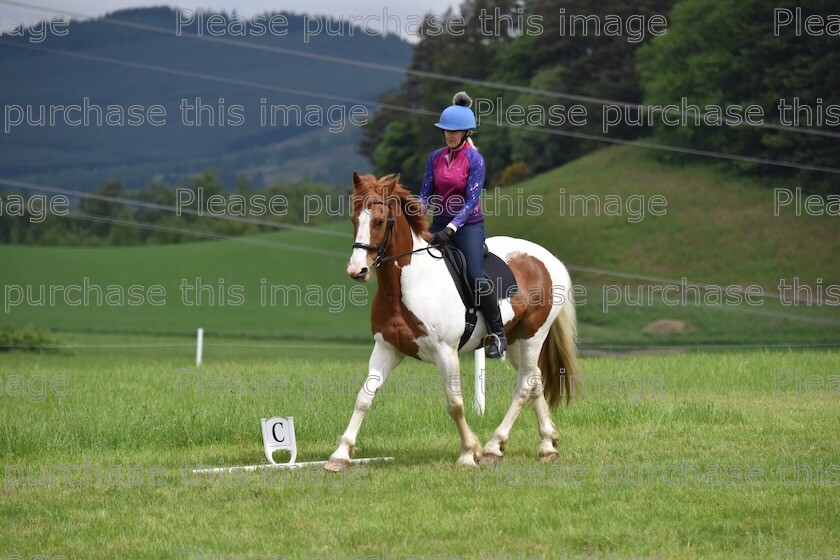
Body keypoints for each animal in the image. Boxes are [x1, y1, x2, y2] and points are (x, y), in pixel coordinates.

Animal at [324, 172, 580, 472]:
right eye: (354, 220)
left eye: (378, 221)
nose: (357, 270)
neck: (406, 286)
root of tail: (550, 260)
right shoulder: (386, 348)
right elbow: (364, 398)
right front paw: (340, 455)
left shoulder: (445, 352)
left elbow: (455, 403)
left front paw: (469, 453)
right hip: (516, 340)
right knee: (534, 378)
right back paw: (546, 445)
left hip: (532, 335)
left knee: (524, 385)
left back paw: (493, 446)